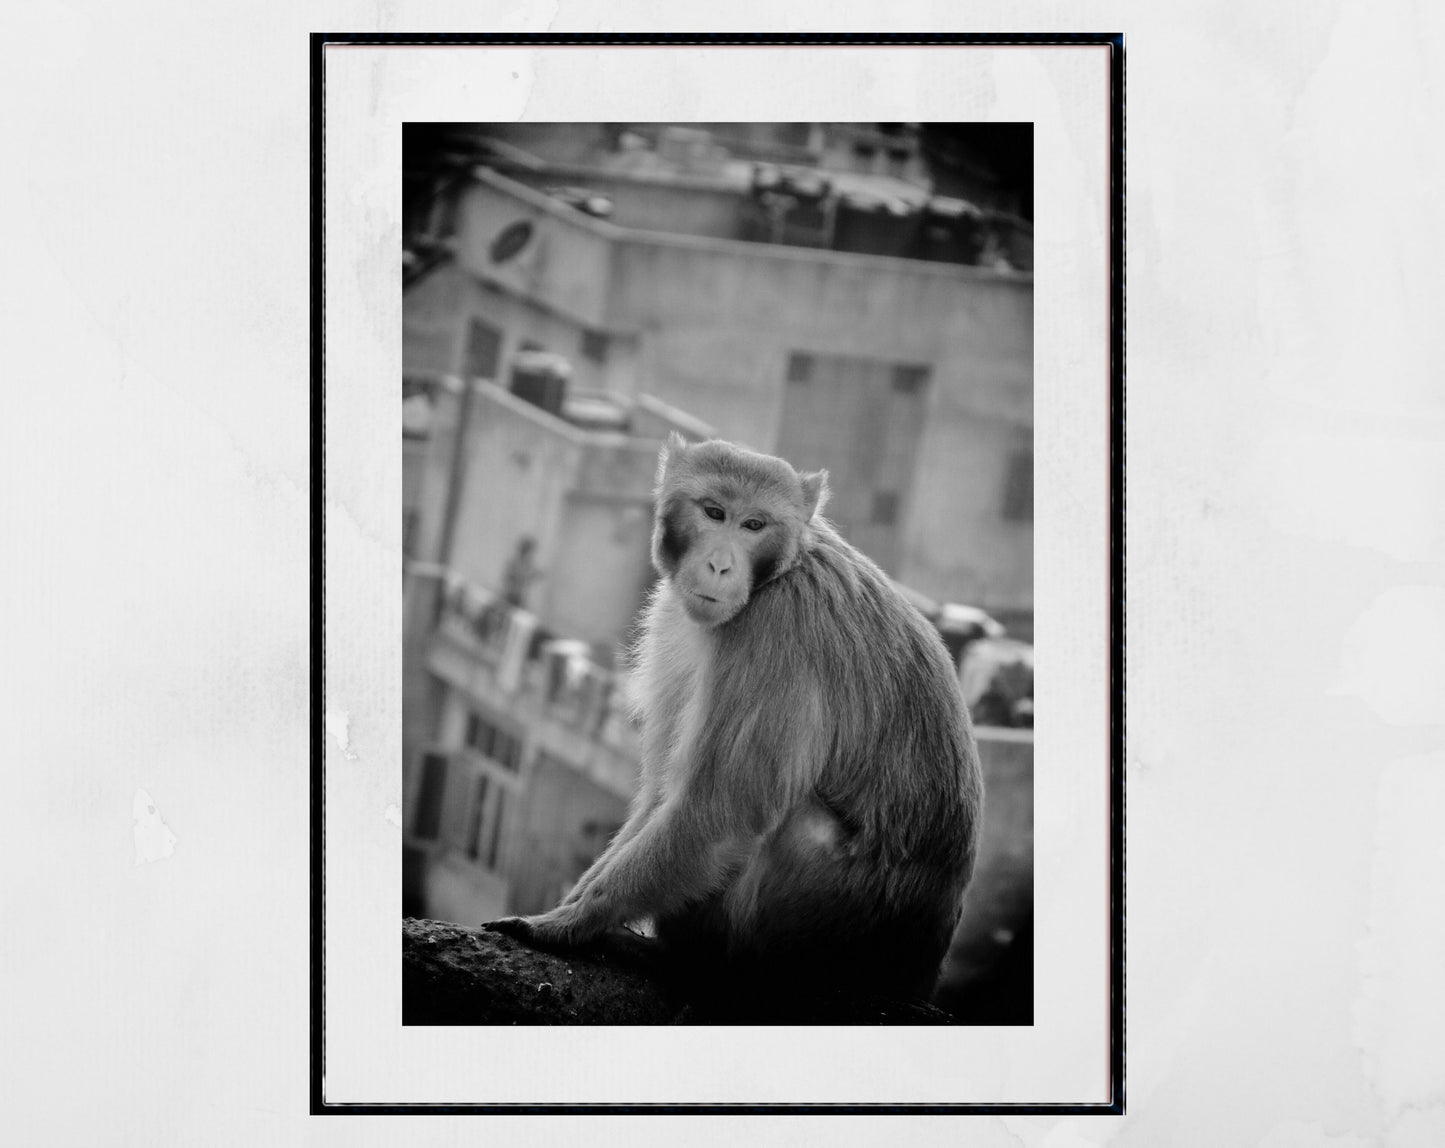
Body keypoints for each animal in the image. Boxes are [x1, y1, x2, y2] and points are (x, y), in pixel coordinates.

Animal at [486, 434, 983, 1009]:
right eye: (714, 513)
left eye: (754, 525)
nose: (721, 566)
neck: (780, 572)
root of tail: (917, 977)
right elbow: (662, 795)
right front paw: (578, 906)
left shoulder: (778, 631)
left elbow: (723, 810)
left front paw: (569, 923)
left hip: (824, 923)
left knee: (798, 826)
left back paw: (696, 963)